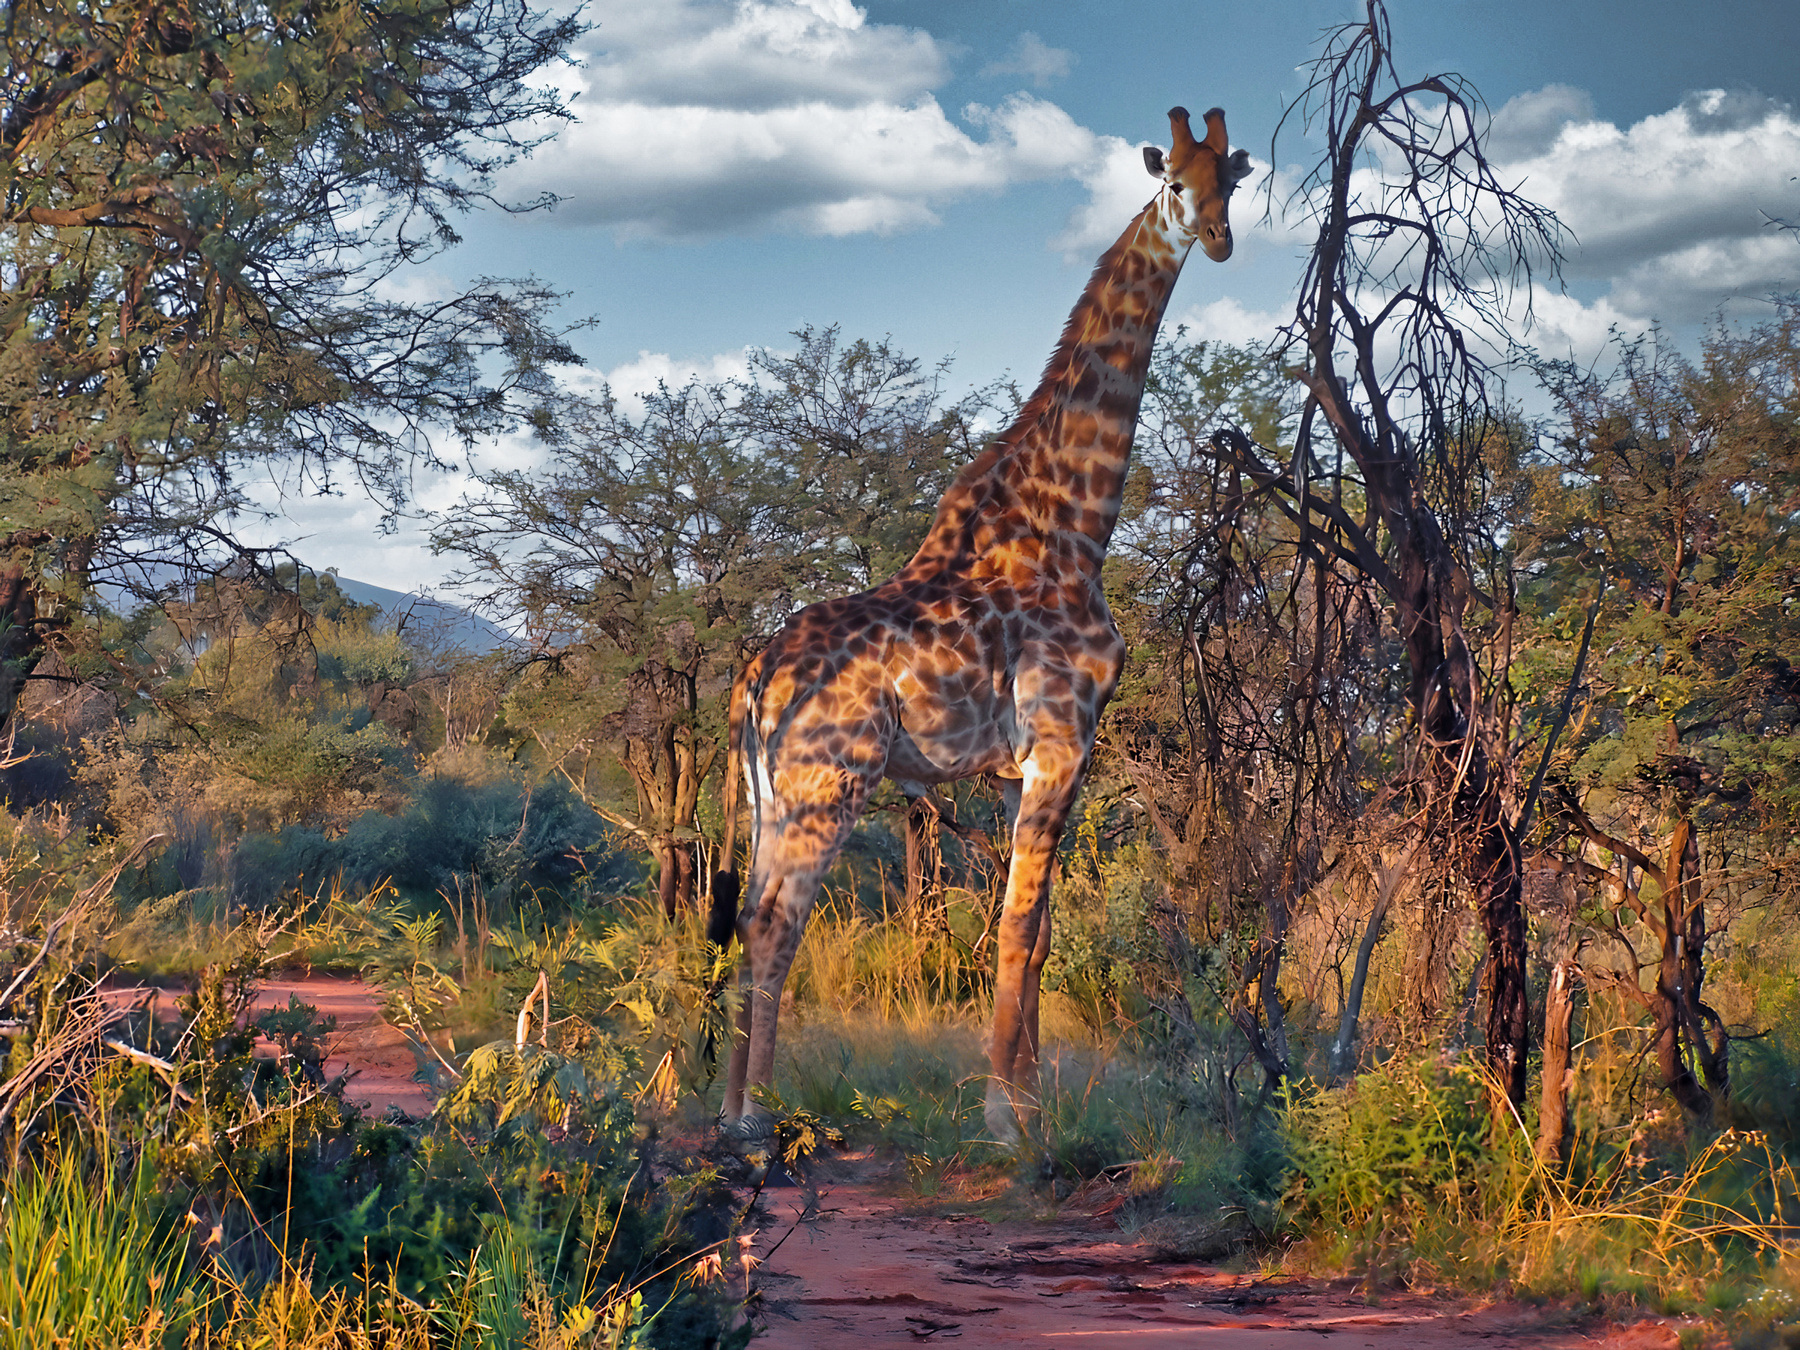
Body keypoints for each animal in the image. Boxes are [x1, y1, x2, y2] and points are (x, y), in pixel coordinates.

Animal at [710, 106, 1251, 1143]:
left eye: (1231, 184)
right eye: (1173, 184)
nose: (1217, 240)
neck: (1072, 525)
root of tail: (756, 679)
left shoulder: (1022, 769)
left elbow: (1036, 935)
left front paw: (1035, 1099)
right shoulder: (1061, 740)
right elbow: (1016, 925)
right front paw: (1006, 1117)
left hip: (771, 795)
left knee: (749, 912)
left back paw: (723, 1102)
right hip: (829, 783)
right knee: (772, 921)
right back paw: (754, 1114)